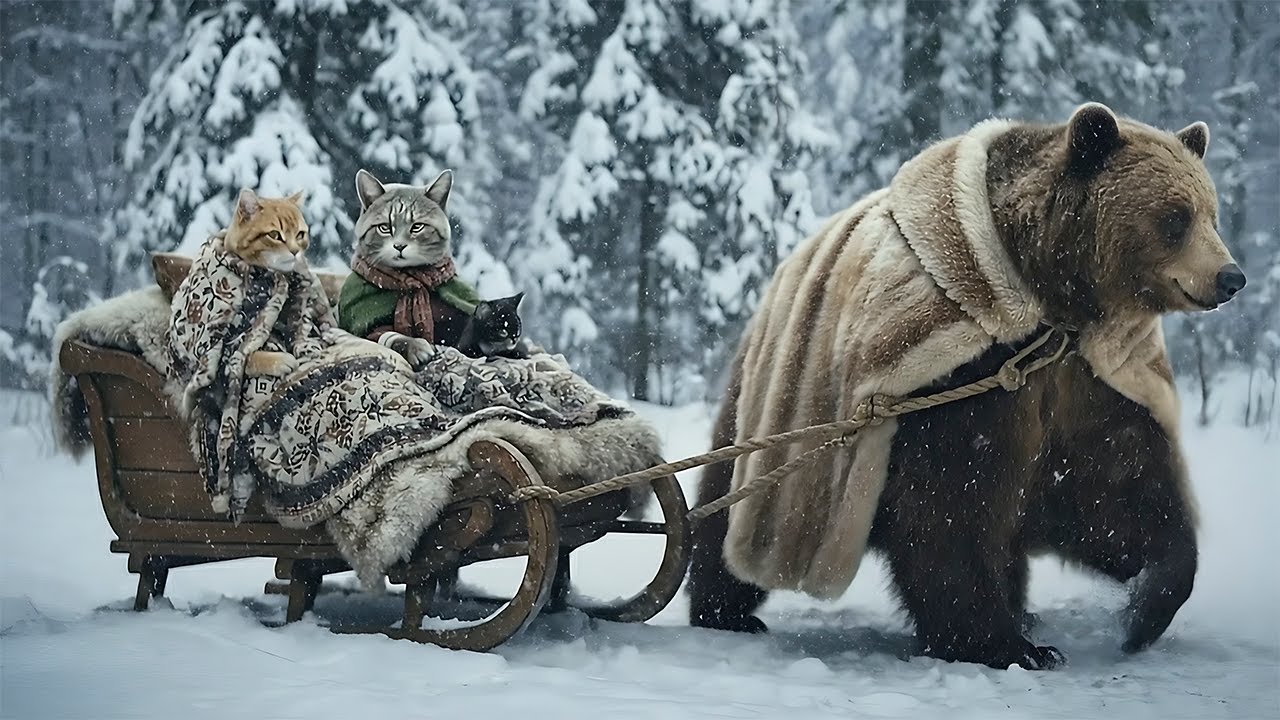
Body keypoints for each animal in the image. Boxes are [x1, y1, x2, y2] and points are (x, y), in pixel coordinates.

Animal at [687, 102, 1245, 670]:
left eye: (1212, 214)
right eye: (1176, 218)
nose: (1231, 277)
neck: (1050, 302)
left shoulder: (1085, 375)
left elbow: (1118, 481)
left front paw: (1144, 611)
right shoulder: (962, 373)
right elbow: (954, 497)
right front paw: (1007, 645)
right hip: (774, 405)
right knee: (730, 497)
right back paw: (726, 610)